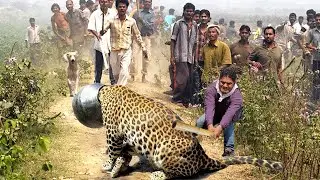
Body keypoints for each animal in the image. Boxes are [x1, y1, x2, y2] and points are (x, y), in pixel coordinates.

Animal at [97, 85, 282, 179]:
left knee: (177, 174)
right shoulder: (130, 138)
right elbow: (124, 153)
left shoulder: (113, 131)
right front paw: (117, 168)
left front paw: (108, 165)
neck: (107, 91)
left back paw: (158, 174)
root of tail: (203, 156)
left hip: (164, 151)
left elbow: (113, 150)